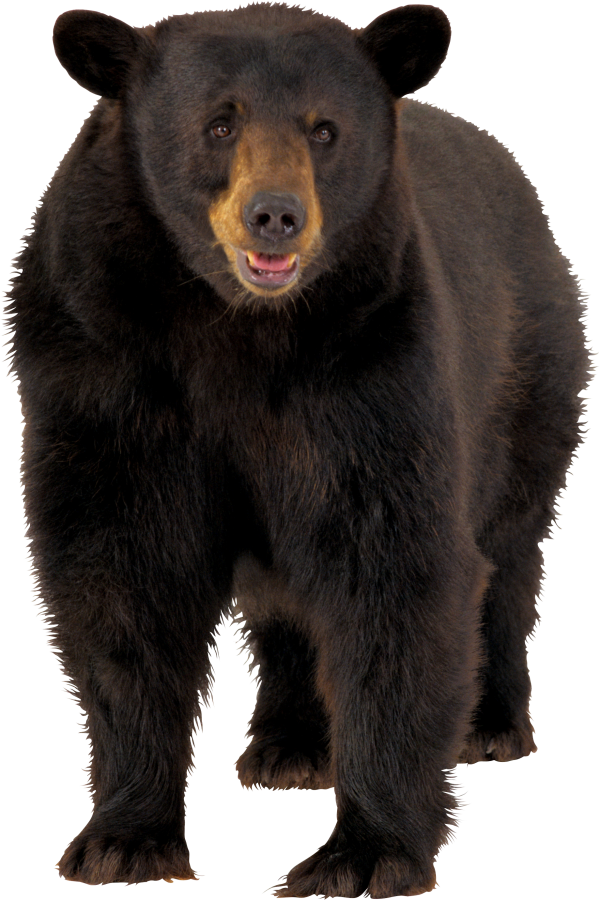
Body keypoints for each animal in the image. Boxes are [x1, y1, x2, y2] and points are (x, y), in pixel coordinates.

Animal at [4, 2, 590, 896]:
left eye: (325, 130)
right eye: (218, 123)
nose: (275, 214)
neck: (234, 326)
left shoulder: (374, 361)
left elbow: (396, 565)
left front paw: (364, 852)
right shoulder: (98, 363)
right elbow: (123, 576)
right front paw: (122, 838)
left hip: (526, 375)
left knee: (508, 548)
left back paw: (491, 722)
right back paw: (289, 746)